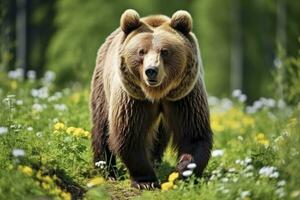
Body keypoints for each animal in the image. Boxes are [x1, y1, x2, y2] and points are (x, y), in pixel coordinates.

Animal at [90, 9, 212, 190]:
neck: (157, 93)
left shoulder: (184, 95)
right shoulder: (133, 98)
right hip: (103, 85)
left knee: (159, 136)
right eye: (141, 51)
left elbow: (193, 134)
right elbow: (129, 133)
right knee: (102, 125)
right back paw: (106, 170)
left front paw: (182, 174)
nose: (151, 71)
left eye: (165, 51)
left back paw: (155, 162)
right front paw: (146, 181)